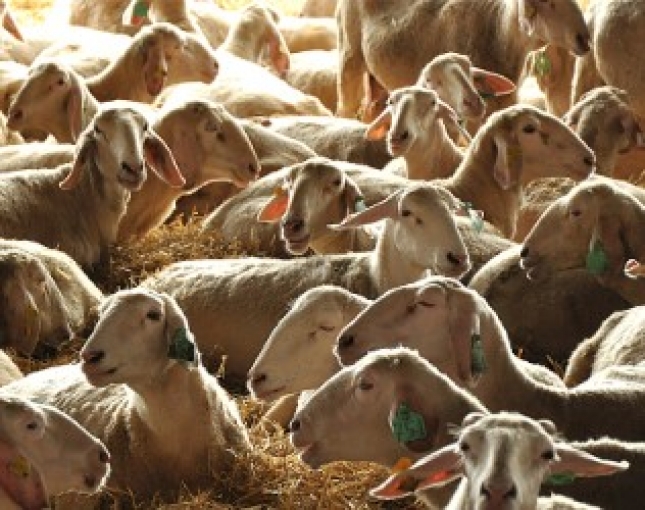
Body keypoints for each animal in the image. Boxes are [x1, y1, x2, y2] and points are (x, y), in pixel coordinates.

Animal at [334, 0, 592, 117]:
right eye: (548, 2)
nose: (584, 38)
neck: (497, 30)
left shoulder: (504, 101)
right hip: (350, 54)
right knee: (344, 108)